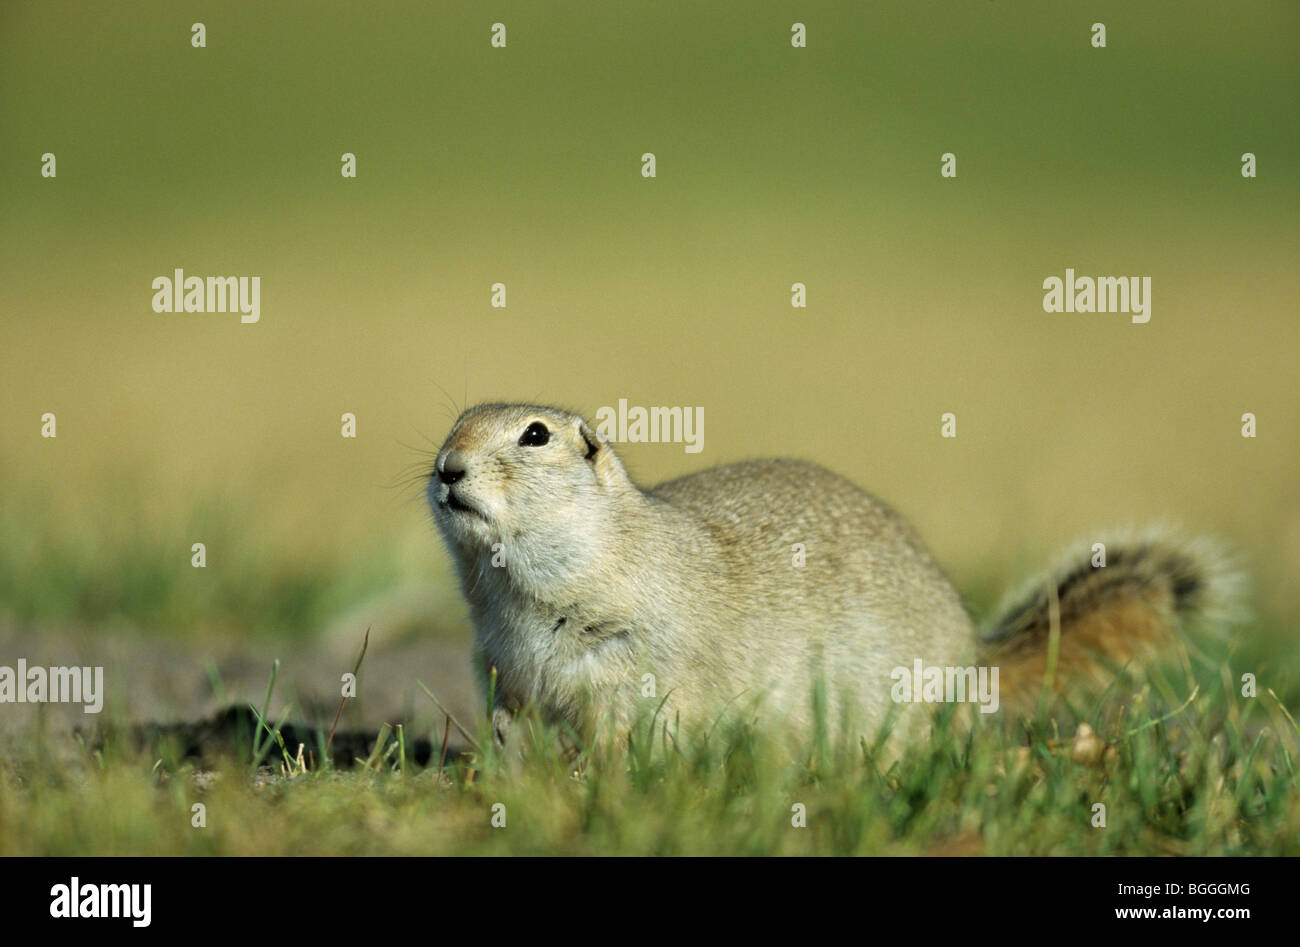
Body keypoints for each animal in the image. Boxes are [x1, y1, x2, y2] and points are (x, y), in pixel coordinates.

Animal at [428, 403, 1237, 749]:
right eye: (456, 421)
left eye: (535, 435)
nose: (447, 467)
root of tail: (973, 663)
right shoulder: (503, 664)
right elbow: (514, 718)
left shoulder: (638, 664)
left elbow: (627, 735)